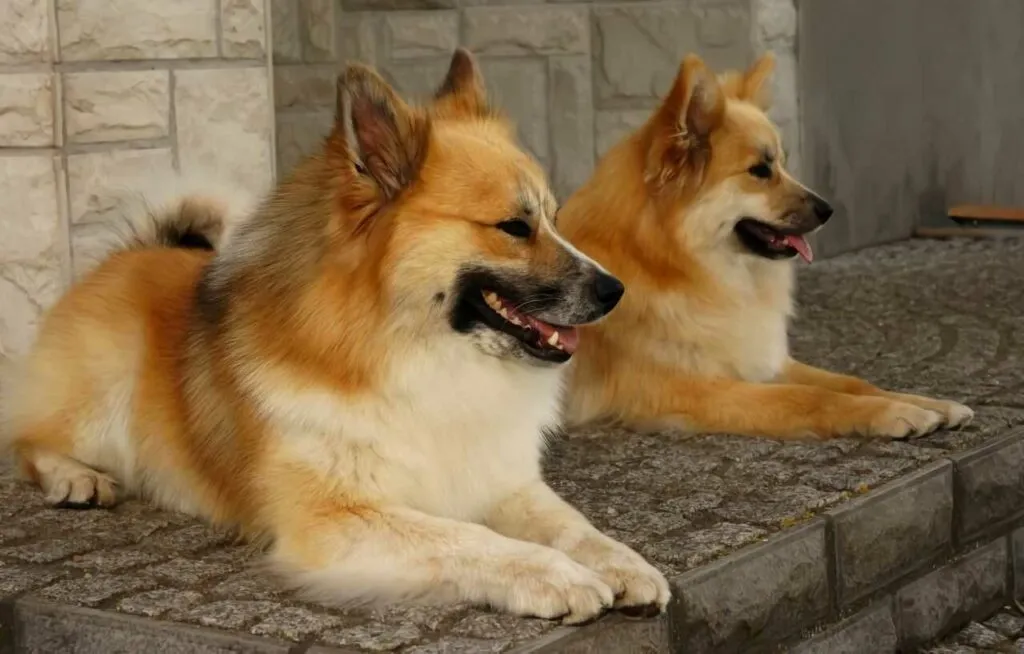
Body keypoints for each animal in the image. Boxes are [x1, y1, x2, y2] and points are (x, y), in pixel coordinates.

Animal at [0, 49, 667, 622]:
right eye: (513, 227)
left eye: (553, 218)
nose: (616, 290)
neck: (419, 354)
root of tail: (134, 251)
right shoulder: (336, 519)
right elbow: (468, 538)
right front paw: (554, 575)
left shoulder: (502, 481)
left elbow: (573, 526)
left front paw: (621, 562)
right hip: (101, 394)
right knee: (31, 440)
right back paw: (75, 478)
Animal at [557, 51, 970, 440]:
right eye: (759, 171)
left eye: (783, 164)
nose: (829, 210)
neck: (670, 264)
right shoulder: (690, 390)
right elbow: (810, 397)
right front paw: (892, 413)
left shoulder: (761, 360)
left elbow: (851, 382)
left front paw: (926, 403)